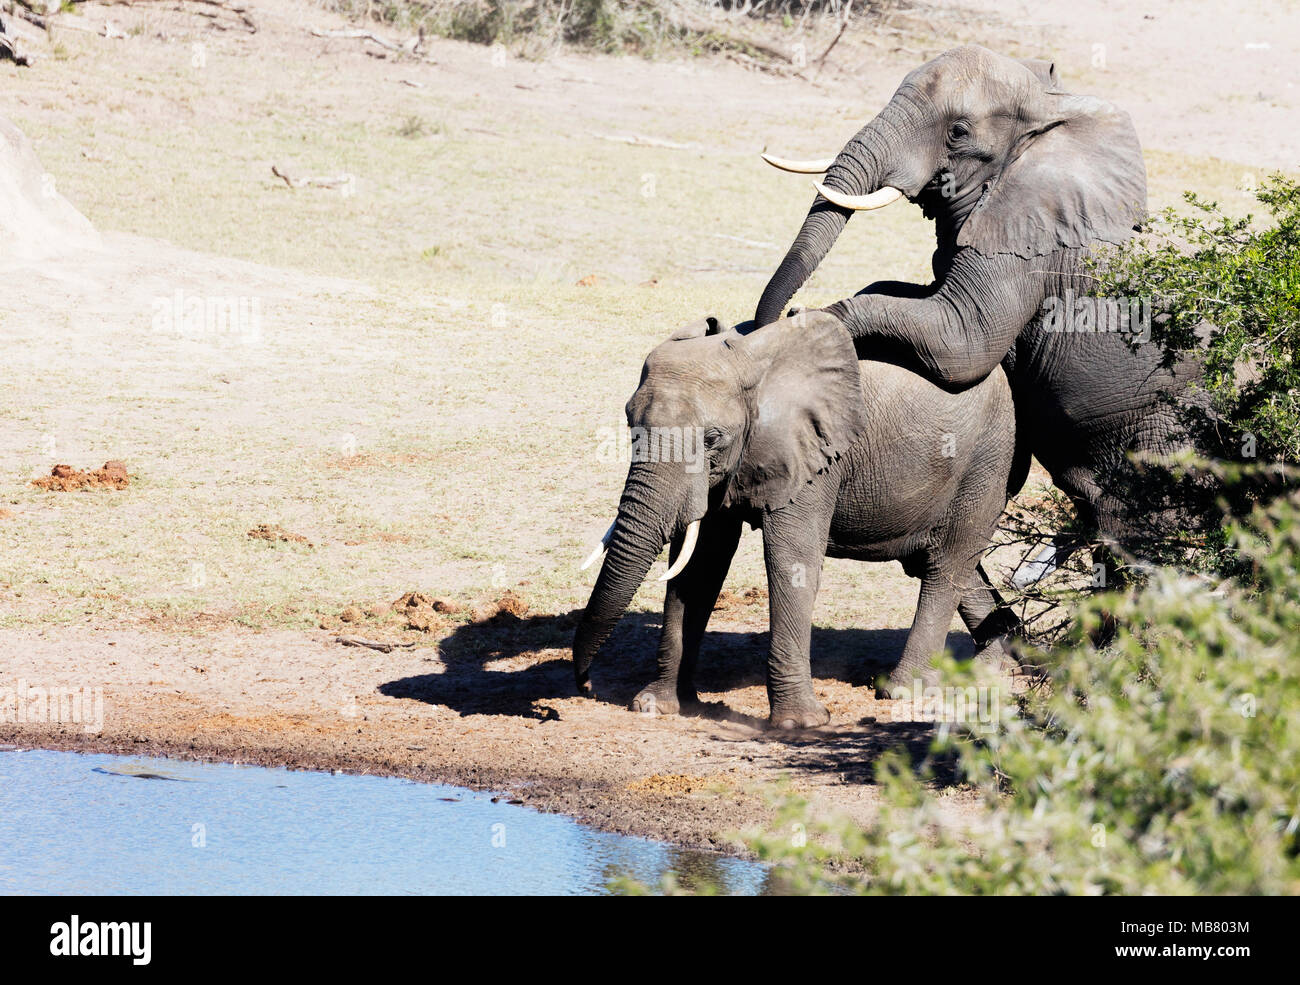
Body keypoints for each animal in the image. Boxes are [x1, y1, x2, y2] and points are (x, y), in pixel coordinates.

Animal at [574, 311, 1019, 727]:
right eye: (629, 423)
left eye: (712, 439)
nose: (585, 685)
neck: (753, 362)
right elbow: (700, 564)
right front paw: (657, 706)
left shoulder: (813, 456)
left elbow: (791, 559)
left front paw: (799, 724)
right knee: (940, 562)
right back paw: (993, 667)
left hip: (987, 457)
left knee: (948, 563)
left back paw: (904, 692)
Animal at [759, 46, 1201, 566]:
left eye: (958, 132)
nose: (767, 321)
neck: (1046, 112)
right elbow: (906, 295)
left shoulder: (1026, 250)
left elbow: (961, 343)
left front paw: (808, 322)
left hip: (1169, 427)